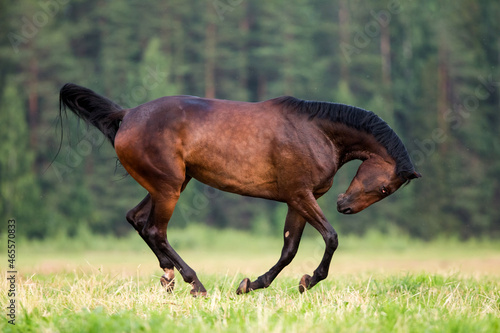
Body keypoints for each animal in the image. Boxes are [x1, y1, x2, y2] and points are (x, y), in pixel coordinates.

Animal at [59, 83, 422, 296]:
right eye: (386, 187)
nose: (344, 206)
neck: (317, 132)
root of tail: (127, 115)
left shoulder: (298, 199)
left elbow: (289, 250)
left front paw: (252, 284)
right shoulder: (301, 195)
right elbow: (331, 238)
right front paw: (308, 280)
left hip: (171, 182)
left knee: (136, 219)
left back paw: (169, 277)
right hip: (169, 186)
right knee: (155, 230)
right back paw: (195, 284)